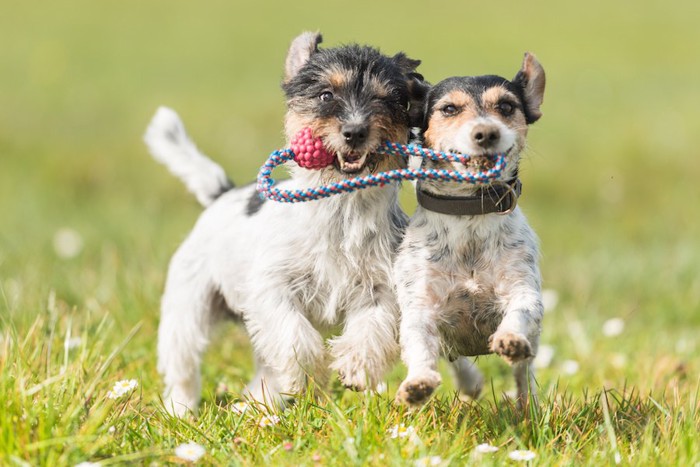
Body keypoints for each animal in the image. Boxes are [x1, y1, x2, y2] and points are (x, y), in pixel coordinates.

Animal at [144, 31, 426, 414]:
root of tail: (222, 194)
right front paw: (308, 375)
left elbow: (372, 329)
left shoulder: (380, 286)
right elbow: (294, 335)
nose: (355, 131)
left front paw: (355, 366)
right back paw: (181, 410)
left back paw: (256, 404)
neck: (341, 208)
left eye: (387, 99)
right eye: (326, 95)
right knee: (183, 363)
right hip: (188, 306)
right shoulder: (272, 287)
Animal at [394, 53, 548, 408]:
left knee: (524, 373)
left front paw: (510, 338)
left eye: (506, 106)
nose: (486, 133)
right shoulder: (420, 306)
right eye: (449, 109)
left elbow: (521, 310)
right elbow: (420, 345)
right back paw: (469, 382)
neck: (469, 213)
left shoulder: (523, 288)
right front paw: (418, 383)